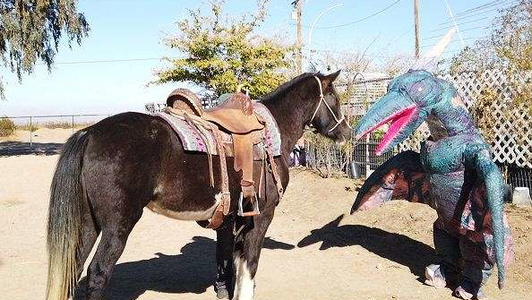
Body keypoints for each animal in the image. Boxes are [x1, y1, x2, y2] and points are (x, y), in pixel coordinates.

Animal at [46, 71, 354, 298]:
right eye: (335, 98)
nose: (347, 133)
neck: (270, 134)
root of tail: (90, 133)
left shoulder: (233, 217)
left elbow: (231, 257)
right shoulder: (262, 215)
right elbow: (250, 263)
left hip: (88, 222)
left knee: (74, 267)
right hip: (117, 225)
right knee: (98, 273)